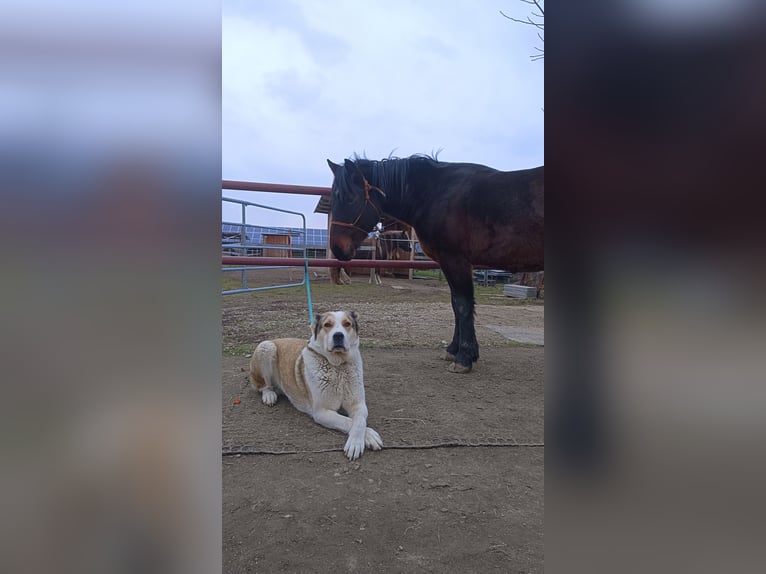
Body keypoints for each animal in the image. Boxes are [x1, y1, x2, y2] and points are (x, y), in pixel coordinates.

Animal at [250, 312, 384, 462]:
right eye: (327, 325)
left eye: (347, 324)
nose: (338, 335)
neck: (338, 367)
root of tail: (276, 339)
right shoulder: (321, 412)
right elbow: (346, 421)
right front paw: (367, 436)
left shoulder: (358, 404)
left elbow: (359, 421)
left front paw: (359, 439)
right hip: (266, 346)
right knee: (263, 385)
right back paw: (269, 395)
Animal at [330, 155, 544, 376]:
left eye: (349, 198)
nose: (337, 248)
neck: (436, 194)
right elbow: (456, 305)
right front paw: (454, 350)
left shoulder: (455, 260)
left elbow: (462, 304)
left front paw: (464, 357)